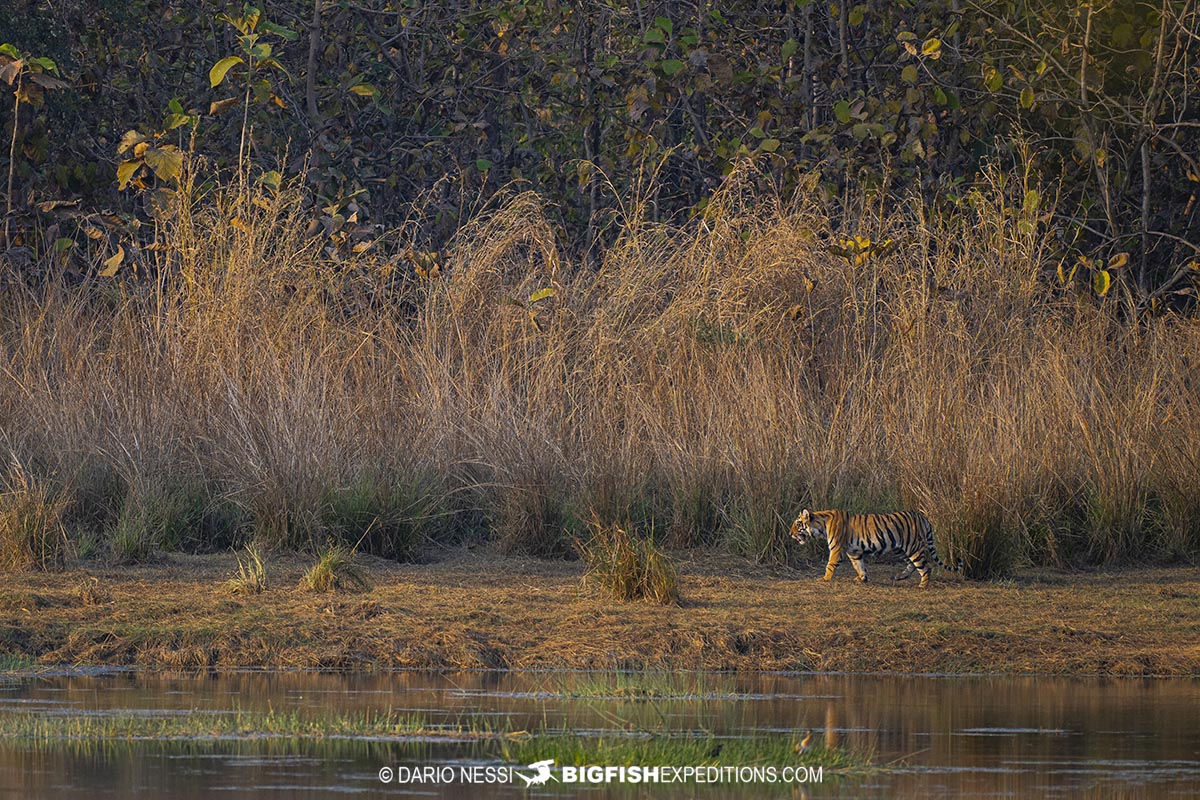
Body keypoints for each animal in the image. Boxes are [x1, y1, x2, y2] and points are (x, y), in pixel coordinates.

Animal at [789, 508, 963, 587]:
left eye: (797, 524)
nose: (790, 534)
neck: (821, 526)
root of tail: (922, 516)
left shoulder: (836, 549)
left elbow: (830, 565)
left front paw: (824, 579)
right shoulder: (854, 552)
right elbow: (859, 565)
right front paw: (862, 579)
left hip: (912, 547)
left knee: (926, 566)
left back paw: (922, 585)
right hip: (901, 548)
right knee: (912, 565)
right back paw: (900, 577)